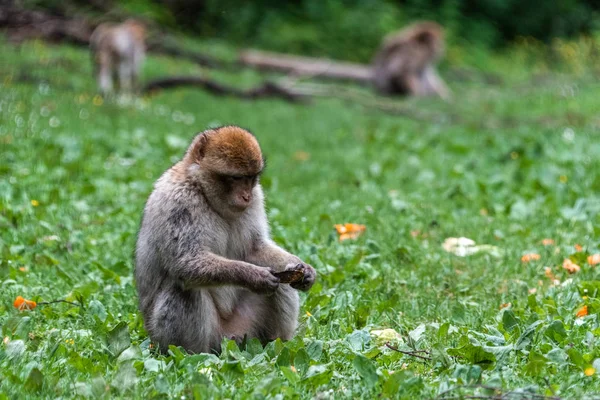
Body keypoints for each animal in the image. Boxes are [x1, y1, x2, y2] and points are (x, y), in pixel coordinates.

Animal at [134, 125, 316, 354]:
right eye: (236, 178)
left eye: (251, 178)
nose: (246, 196)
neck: (202, 190)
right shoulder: (178, 202)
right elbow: (187, 261)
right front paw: (254, 276)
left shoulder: (257, 198)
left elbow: (255, 248)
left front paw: (305, 270)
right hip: (179, 337)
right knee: (182, 286)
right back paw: (191, 355)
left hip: (246, 330)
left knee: (282, 284)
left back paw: (277, 344)